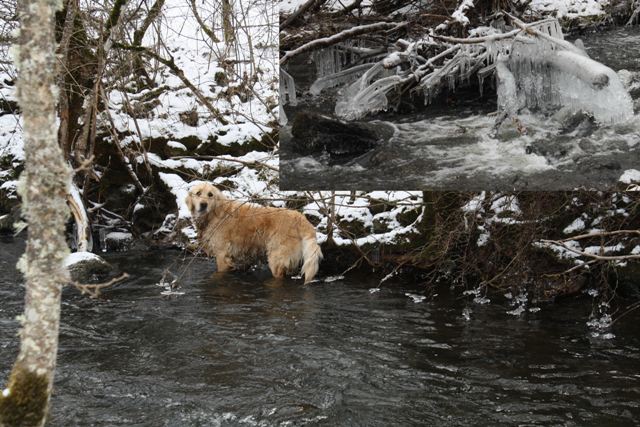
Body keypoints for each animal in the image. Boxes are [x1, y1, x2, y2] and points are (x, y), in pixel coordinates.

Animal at [186, 181, 324, 284]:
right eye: (198, 193)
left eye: (210, 194)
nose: (203, 204)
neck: (213, 215)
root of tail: (300, 217)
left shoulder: (222, 256)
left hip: (276, 258)